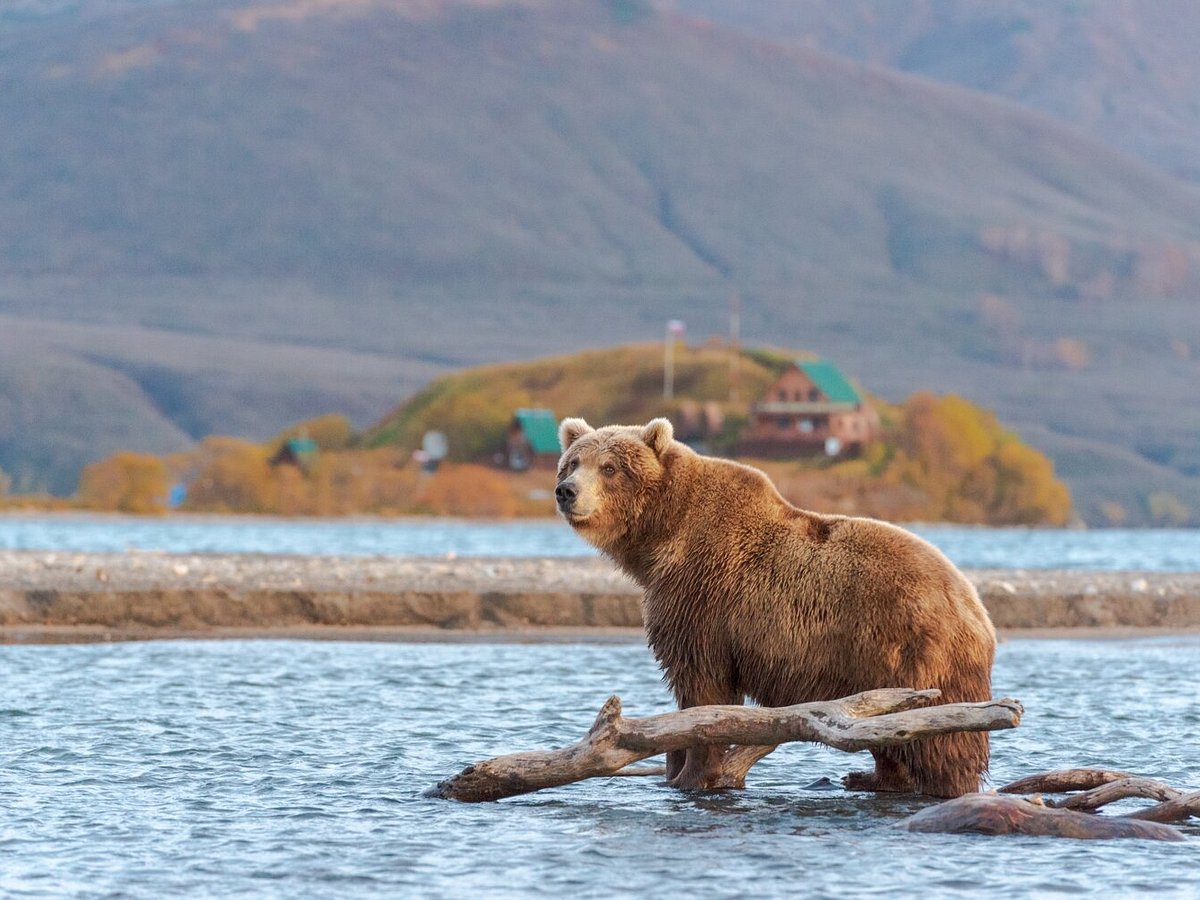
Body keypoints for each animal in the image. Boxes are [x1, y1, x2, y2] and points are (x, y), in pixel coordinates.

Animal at [556, 415, 998, 796]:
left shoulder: (701, 597)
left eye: (610, 467)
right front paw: (675, 768)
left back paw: (945, 785)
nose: (567, 491)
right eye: (573, 463)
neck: (662, 535)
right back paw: (871, 778)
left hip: (909, 650)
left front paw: (692, 776)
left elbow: (703, 687)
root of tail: (975, 607)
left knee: (941, 739)